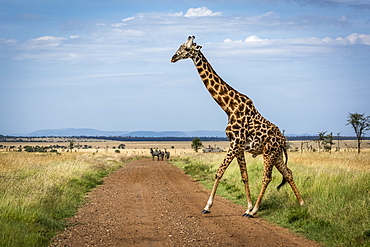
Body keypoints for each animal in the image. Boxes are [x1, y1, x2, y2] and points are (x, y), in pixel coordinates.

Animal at [171, 35, 304, 217]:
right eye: (180, 46)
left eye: (185, 48)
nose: (173, 58)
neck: (228, 107)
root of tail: (283, 141)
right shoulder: (238, 146)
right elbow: (244, 176)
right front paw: (247, 206)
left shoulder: (235, 142)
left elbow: (219, 172)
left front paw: (208, 206)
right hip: (276, 155)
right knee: (288, 173)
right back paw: (301, 203)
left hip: (269, 153)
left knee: (267, 177)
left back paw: (255, 211)